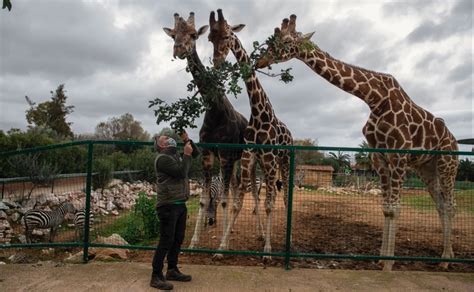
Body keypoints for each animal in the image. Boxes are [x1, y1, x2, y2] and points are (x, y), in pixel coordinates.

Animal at [164, 12, 248, 249]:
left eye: (194, 35)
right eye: (173, 35)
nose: (178, 50)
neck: (215, 112)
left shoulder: (226, 154)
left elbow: (224, 199)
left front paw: (222, 247)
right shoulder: (209, 154)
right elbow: (203, 199)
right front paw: (193, 242)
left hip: (242, 158)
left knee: (240, 192)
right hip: (230, 161)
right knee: (235, 187)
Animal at [210, 9, 294, 262]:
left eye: (227, 35)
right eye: (210, 38)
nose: (216, 60)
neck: (258, 113)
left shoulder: (269, 160)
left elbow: (268, 204)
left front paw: (267, 251)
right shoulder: (249, 159)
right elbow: (238, 203)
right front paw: (221, 248)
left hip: (282, 163)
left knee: (282, 196)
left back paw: (283, 239)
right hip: (263, 165)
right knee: (263, 196)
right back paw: (261, 234)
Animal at [256, 14, 460, 272]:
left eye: (286, 41)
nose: (260, 60)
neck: (374, 99)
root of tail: (455, 142)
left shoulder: (398, 154)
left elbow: (395, 208)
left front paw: (388, 266)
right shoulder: (379, 157)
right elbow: (386, 209)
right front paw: (381, 258)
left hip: (447, 164)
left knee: (450, 204)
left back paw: (446, 260)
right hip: (426, 169)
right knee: (441, 205)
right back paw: (446, 256)